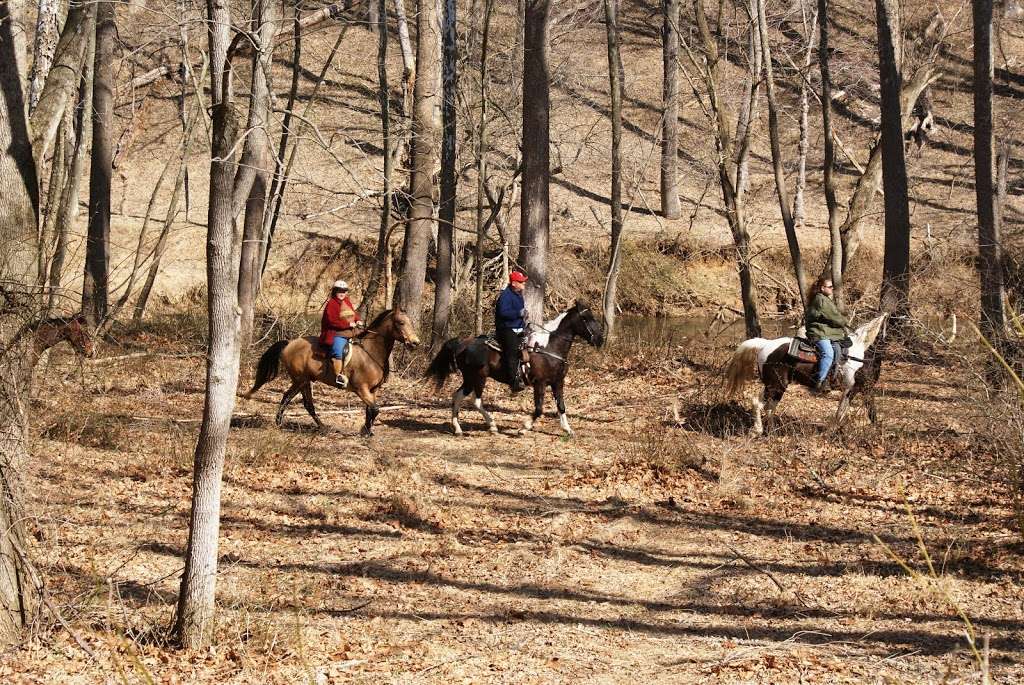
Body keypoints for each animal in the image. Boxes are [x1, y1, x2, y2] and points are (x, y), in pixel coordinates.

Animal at [243, 309, 419, 432]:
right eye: (400, 323)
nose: (415, 343)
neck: (371, 352)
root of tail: (289, 343)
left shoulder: (373, 390)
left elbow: (371, 410)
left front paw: (368, 431)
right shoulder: (361, 389)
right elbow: (375, 409)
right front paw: (365, 430)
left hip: (304, 381)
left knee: (304, 403)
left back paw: (319, 425)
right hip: (300, 380)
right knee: (291, 398)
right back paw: (282, 423)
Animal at [425, 301, 602, 438]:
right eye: (586, 318)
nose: (600, 339)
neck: (549, 347)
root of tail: (463, 344)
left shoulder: (557, 382)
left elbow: (561, 406)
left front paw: (568, 430)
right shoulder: (540, 383)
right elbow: (539, 409)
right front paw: (523, 429)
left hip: (469, 379)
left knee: (457, 396)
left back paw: (458, 428)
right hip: (478, 377)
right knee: (475, 400)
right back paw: (492, 425)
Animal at [720, 311, 888, 432]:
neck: (862, 352)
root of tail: (765, 344)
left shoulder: (861, 389)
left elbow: (860, 411)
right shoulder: (854, 388)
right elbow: (850, 411)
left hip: (776, 386)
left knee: (769, 407)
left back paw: (772, 430)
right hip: (775, 385)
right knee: (759, 403)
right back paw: (758, 430)